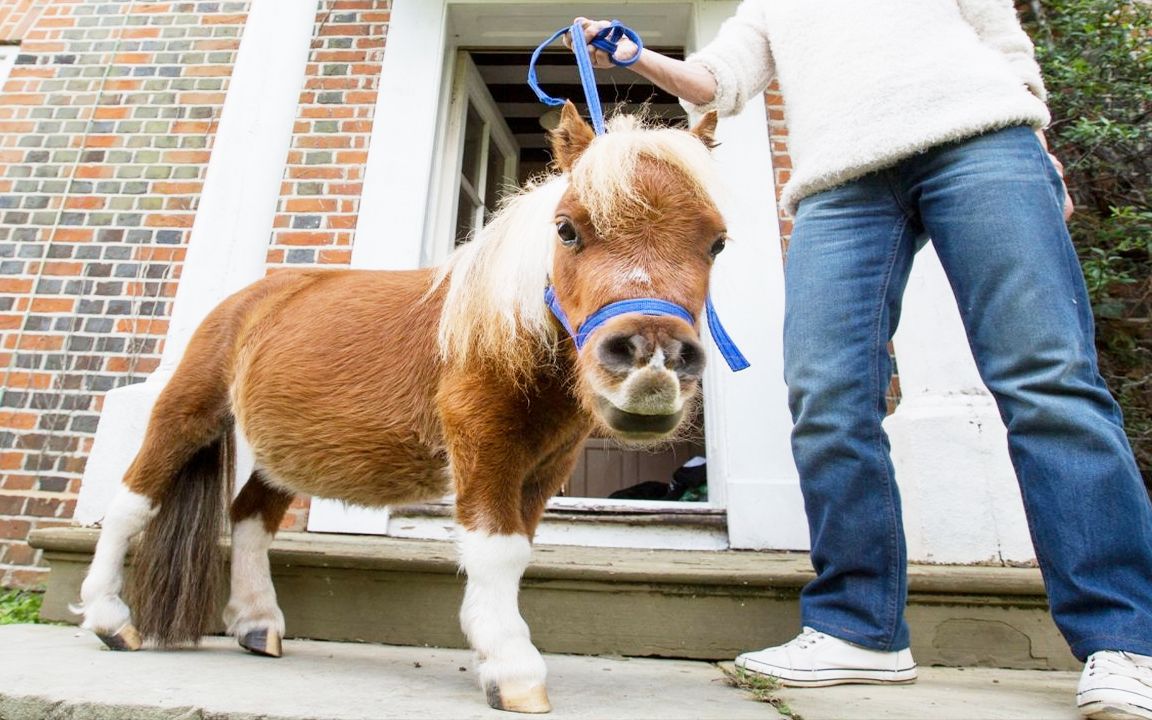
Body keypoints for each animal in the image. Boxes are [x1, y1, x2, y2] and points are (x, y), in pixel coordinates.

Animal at [76, 102, 728, 714]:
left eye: (718, 242)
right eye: (567, 230)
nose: (652, 364)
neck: (502, 334)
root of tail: (252, 296)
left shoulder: (546, 467)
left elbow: (518, 551)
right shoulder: (484, 445)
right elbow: (496, 551)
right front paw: (512, 668)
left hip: (285, 454)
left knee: (250, 517)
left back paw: (257, 624)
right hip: (190, 411)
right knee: (132, 502)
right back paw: (109, 619)